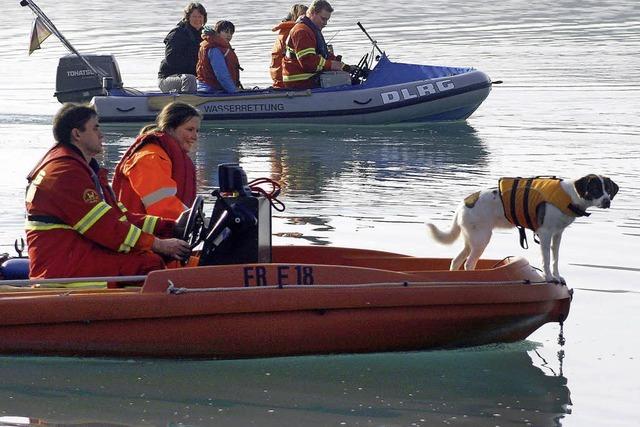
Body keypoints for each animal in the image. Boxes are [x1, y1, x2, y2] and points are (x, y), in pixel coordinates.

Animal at [428, 176, 616, 282]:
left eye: (608, 189)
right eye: (595, 189)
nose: (607, 201)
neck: (570, 196)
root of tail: (463, 204)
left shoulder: (557, 235)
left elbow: (555, 259)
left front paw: (556, 276)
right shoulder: (545, 234)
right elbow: (547, 259)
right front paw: (549, 278)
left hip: (471, 239)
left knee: (456, 260)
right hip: (482, 239)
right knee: (468, 263)